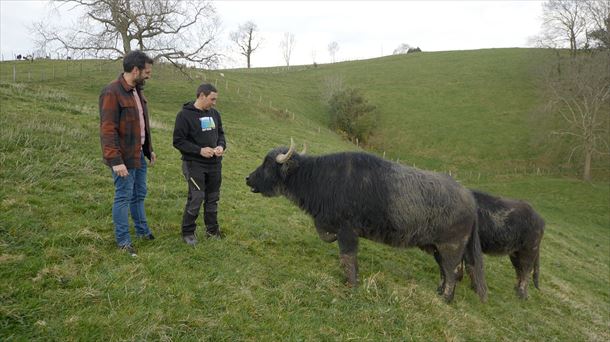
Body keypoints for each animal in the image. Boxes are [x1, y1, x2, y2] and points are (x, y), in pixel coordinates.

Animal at [245, 139, 486, 302]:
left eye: (267, 165)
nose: (248, 178)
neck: (322, 178)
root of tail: (470, 200)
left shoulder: (347, 232)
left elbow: (347, 258)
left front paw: (351, 285)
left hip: (450, 248)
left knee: (451, 273)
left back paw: (445, 297)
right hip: (438, 249)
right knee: (446, 273)